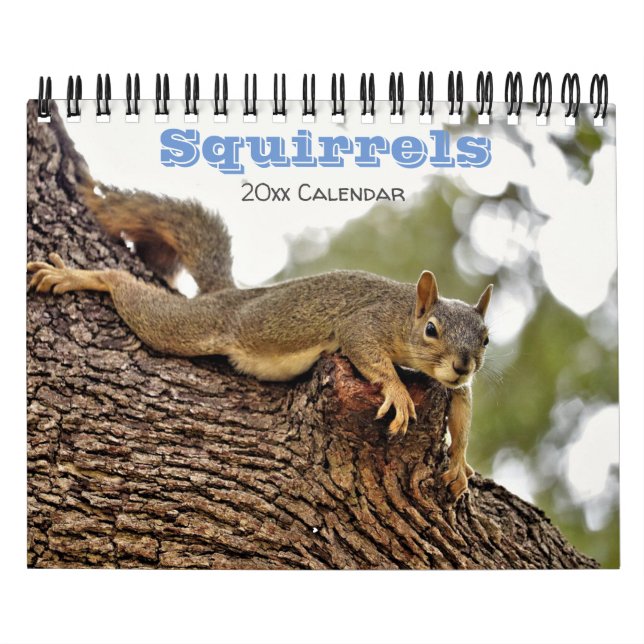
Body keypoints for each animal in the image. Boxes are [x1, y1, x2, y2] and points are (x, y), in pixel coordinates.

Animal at [27, 180, 493, 500]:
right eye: (431, 330)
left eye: (486, 339)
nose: (462, 365)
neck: (403, 313)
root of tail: (230, 295)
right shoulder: (365, 323)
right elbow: (365, 349)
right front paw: (397, 390)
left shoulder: (455, 384)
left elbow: (463, 409)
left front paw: (459, 462)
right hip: (197, 326)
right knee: (138, 300)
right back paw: (81, 276)